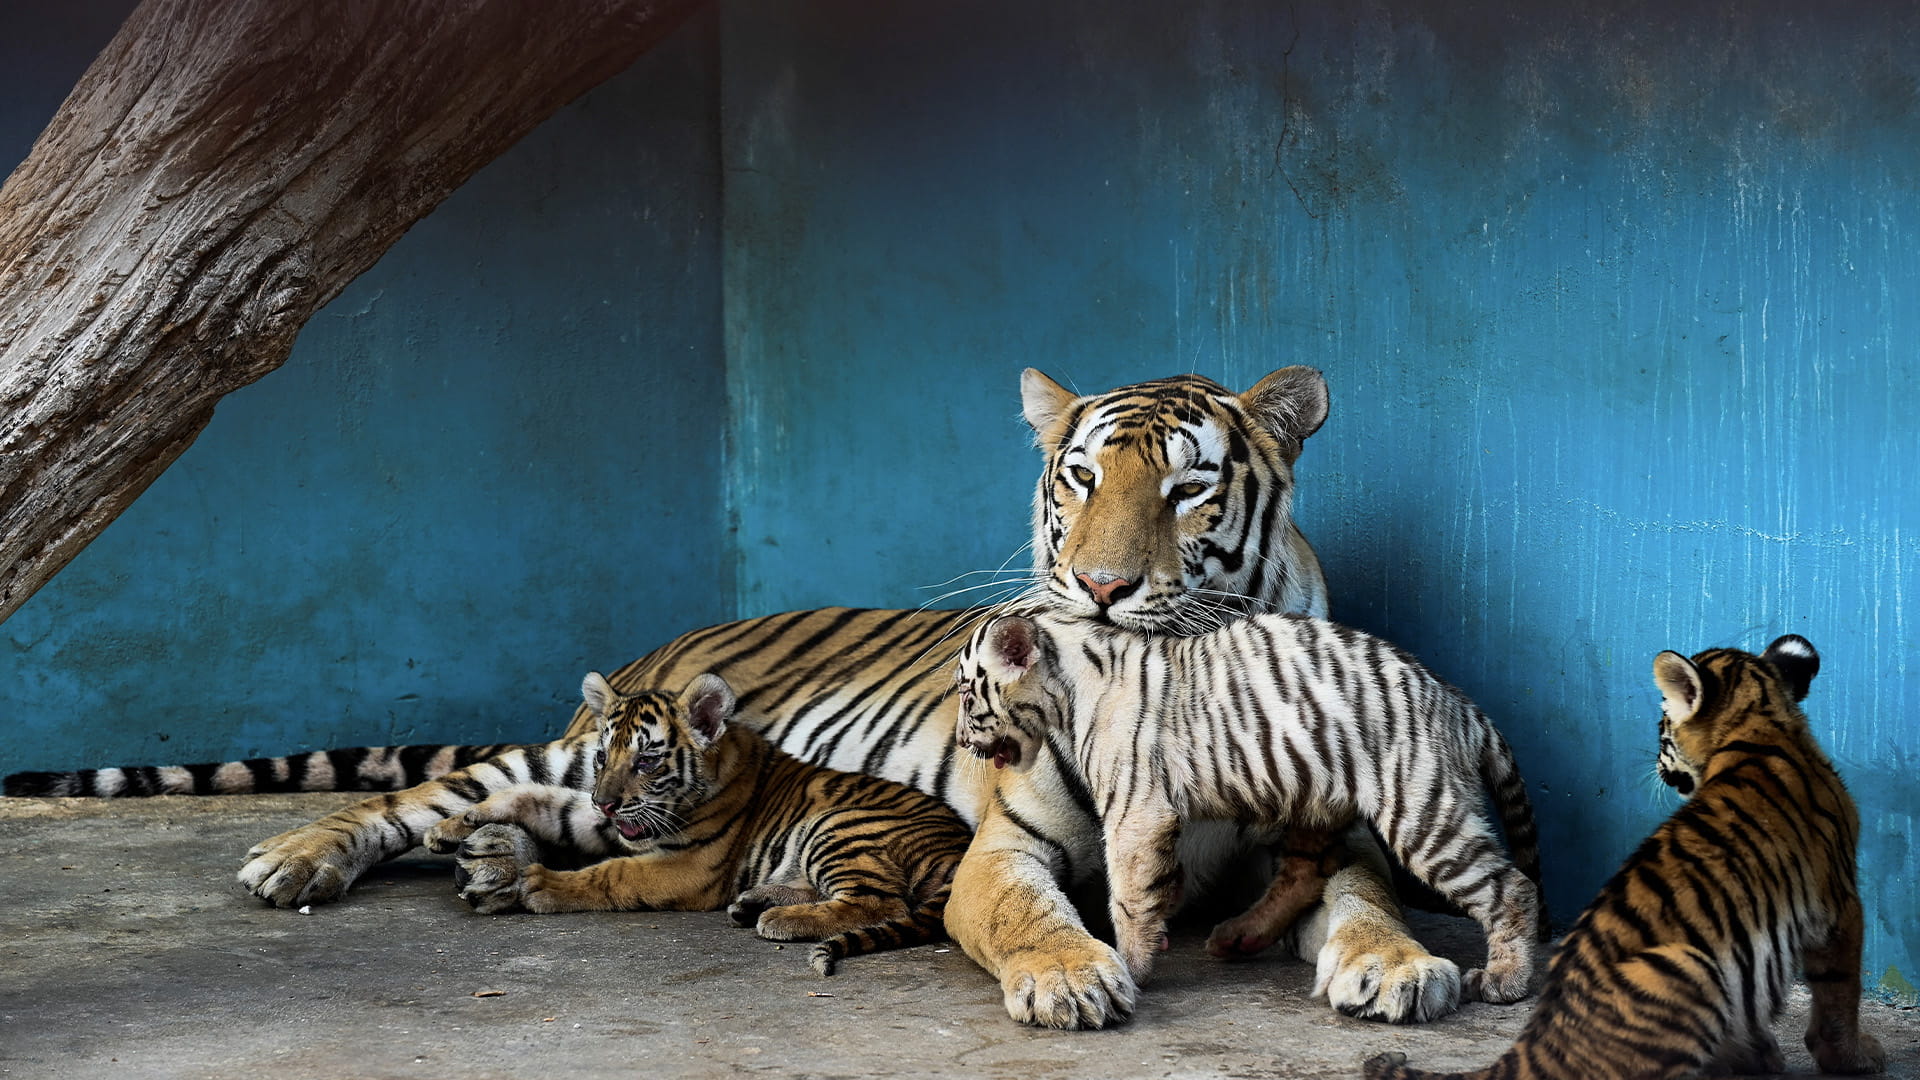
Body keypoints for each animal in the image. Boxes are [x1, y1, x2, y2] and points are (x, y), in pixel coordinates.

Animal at [415, 671, 970, 977]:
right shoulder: (616, 824)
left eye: (645, 761)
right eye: (601, 757)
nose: (605, 802)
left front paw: (541, 884)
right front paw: (451, 826)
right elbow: (536, 797)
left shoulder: (686, 864)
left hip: (840, 823)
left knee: (881, 902)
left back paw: (779, 919)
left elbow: (611, 875)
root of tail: (954, 852)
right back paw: (755, 902)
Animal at [952, 609, 1547, 1005]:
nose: (960, 739)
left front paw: (1134, 965)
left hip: (1423, 810)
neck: (1070, 682)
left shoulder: (1135, 809)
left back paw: (1505, 981)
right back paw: (1240, 935)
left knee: (1512, 887)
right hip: (1315, 797)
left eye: (965, 694)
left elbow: (1128, 895)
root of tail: (1461, 707)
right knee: (1304, 875)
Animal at [1364, 634, 1886, 1080]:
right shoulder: (1840, 903)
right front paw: (1853, 1058)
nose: (1656, 764)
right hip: (1690, 966)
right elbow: (1840, 991)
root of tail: (1536, 1039)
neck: (1761, 728)